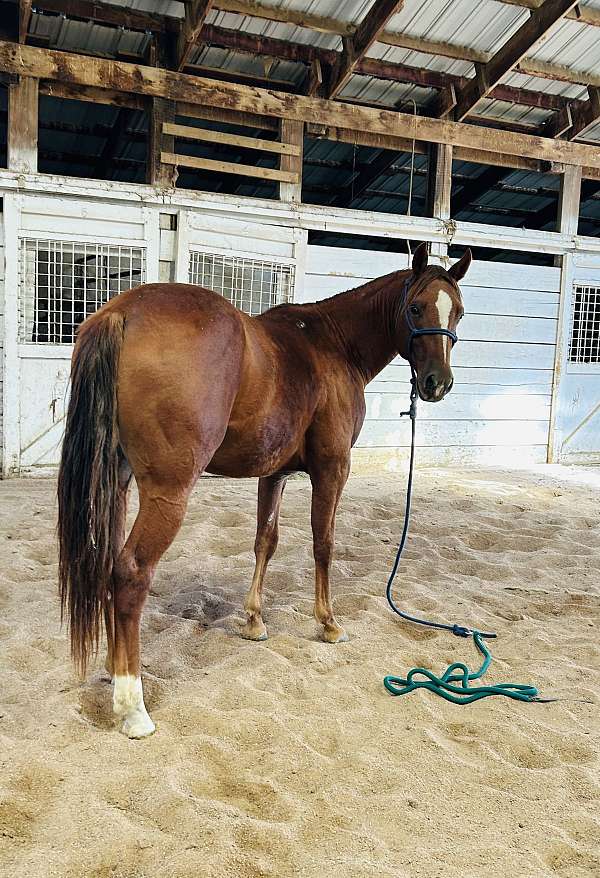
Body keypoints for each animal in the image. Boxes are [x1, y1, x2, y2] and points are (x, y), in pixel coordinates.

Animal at [57, 241, 468, 736]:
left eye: (459, 312)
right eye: (415, 307)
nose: (437, 383)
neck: (331, 345)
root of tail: (123, 311)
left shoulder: (274, 473)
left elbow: (264, 541)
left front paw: (253, 620)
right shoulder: (333, 469)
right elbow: (323, 543)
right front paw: (329, 624)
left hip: (116, 485)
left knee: (106, 565)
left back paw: (113, 669)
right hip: (168, 493)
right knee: (131, 572)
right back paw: (132, 706)